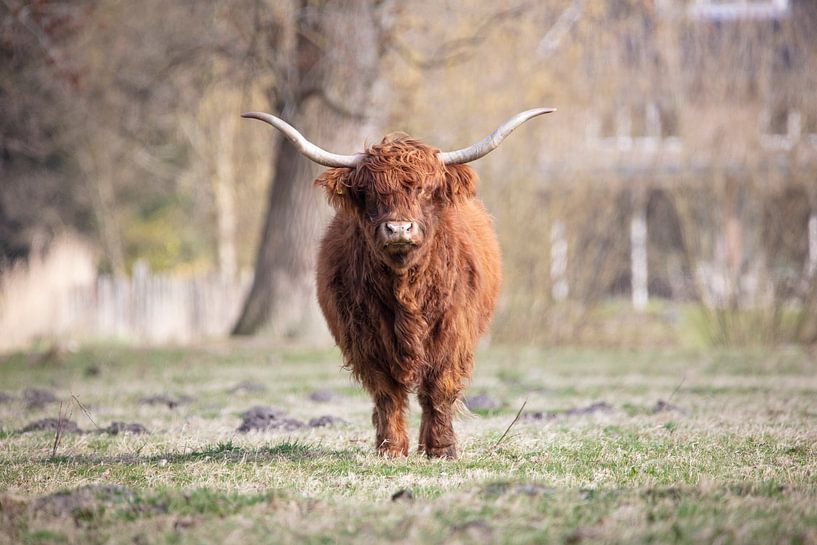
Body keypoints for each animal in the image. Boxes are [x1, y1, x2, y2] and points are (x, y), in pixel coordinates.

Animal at [239, 108, 552, 456]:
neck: (406, 289)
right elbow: (387, 391)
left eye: (426, 190)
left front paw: (441, 449)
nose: (399, 229)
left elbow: (438, 389)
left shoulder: (452, 333)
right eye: (370, 194)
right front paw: (390, 448)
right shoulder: (366, 337)